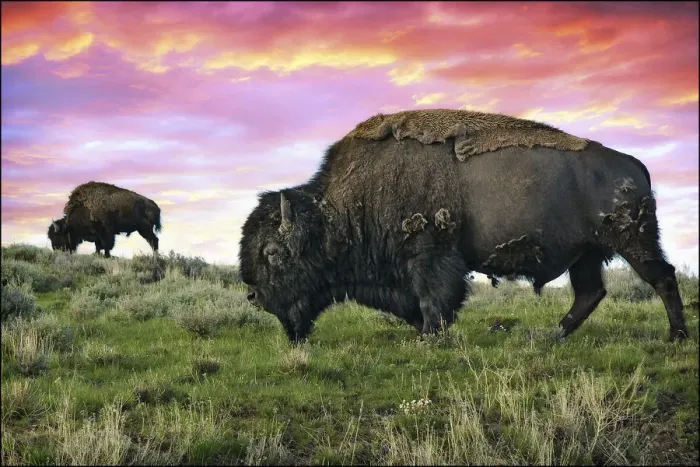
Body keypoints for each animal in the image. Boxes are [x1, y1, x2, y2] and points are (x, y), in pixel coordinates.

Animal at [239, 109, 689, 343]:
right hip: (587, 253)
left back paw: (677, 336)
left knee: (662, 277)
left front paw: (429, 336)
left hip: (633, 240)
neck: (338, 208)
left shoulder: (429, 255)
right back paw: (555, 334)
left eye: (273, 253)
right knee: (590, 291)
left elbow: (432, 299)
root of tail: (633, 164)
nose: (253, 295)